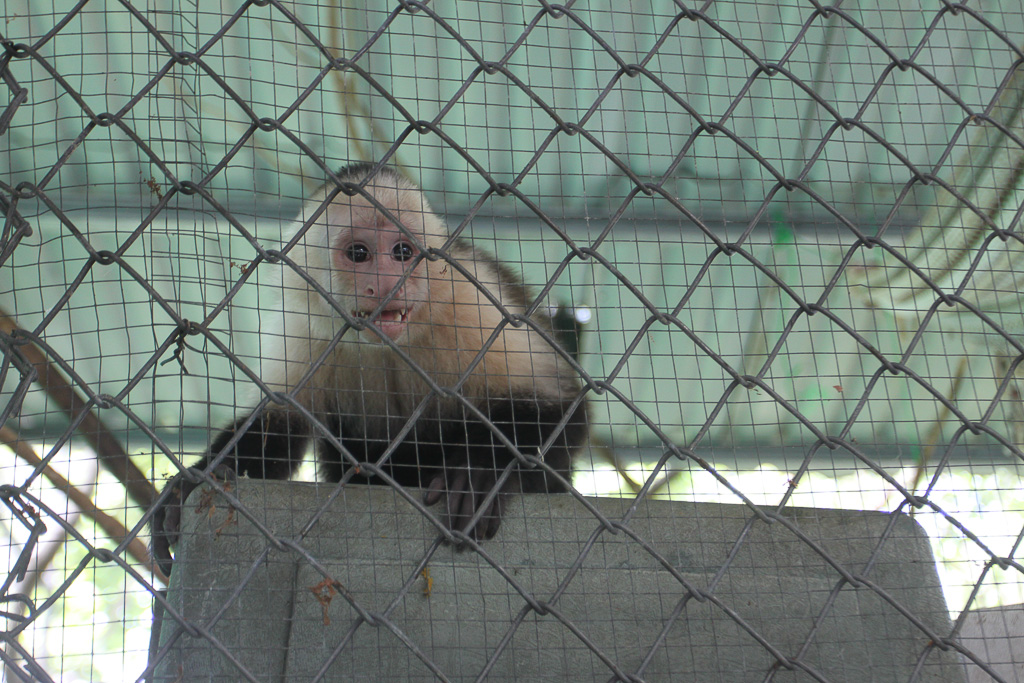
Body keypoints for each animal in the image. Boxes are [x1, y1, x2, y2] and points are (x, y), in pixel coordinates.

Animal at [150, 163, 588, 574]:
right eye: (359, 253)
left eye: (403, 252)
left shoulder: (470, 302)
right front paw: (195, 481)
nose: (388, 282)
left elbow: (560, 405)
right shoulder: (305, 329)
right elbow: (280, 427)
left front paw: (482, 471)